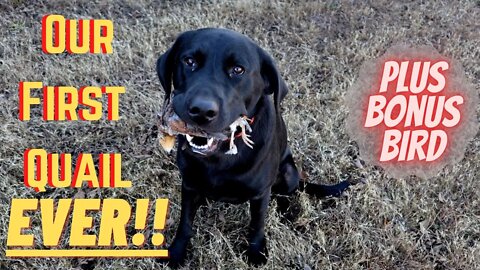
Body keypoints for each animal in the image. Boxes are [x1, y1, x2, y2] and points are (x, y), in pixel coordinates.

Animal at [158, 28, 348, 266]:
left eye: (238, 70)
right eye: (189, 61)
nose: (202, 110)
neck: (220, 156)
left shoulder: (260, 194)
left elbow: (257, 225)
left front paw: (256, 252)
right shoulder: (190, 185)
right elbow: (185, 223)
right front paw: (176, 253)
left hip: (288, 172)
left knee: (287, 193)